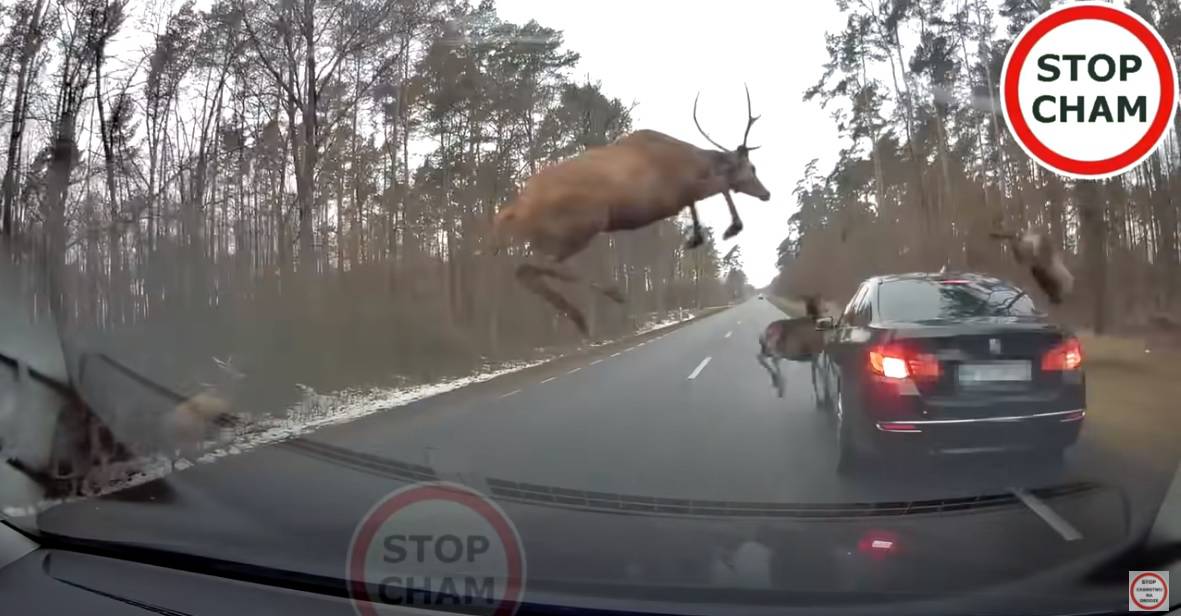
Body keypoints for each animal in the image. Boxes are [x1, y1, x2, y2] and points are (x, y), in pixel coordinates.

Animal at [491, 85, 774, 332]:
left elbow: (696, 203)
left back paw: (581, 318)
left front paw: (695, 237)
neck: (692, 163)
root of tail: (518, 207)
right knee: (538, 264)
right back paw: (612, 295)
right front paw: (731, 228)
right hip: (581, 224)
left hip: (551, 235)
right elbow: (720, 186)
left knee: (524, 269)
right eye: (752, 167)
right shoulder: (673, 191)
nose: (766, 193)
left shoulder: (679, 196)